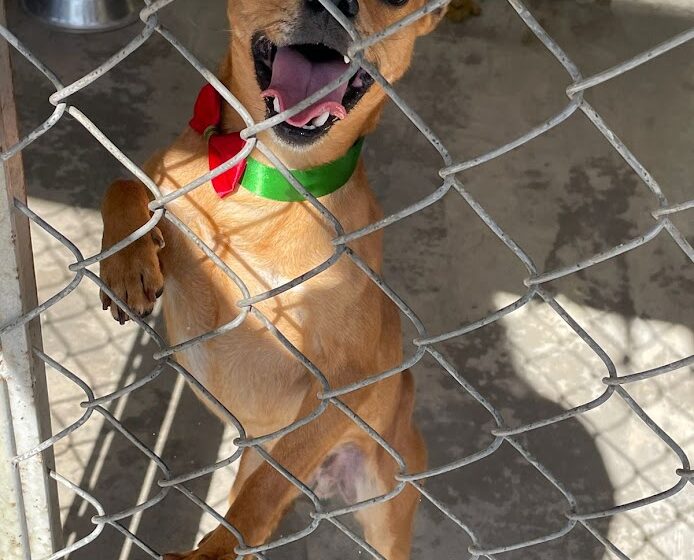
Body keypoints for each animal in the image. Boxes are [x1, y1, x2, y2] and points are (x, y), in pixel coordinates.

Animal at [99, 2, 446, 556]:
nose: (336, 4)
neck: (261, 179)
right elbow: (122, 185)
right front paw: (126, 260)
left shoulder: (344, 379)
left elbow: (265, 493)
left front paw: (215, 551)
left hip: (386, 512)